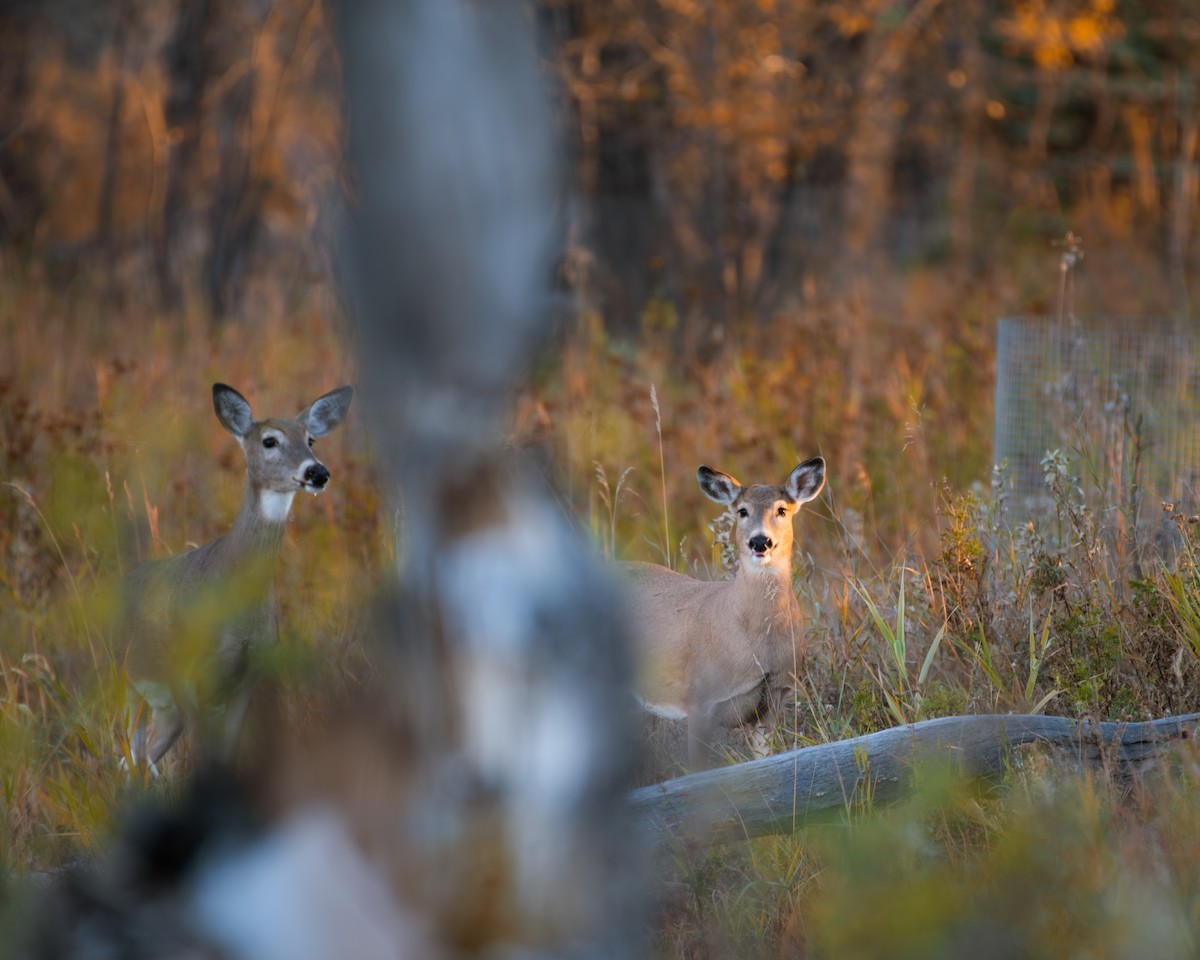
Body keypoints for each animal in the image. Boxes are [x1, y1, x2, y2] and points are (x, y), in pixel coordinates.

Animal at [120, 382, 353, 773]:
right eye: (270, 440)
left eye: (310, 439)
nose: (317, 472)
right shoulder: (187, 673)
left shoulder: (248, 676)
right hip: (128, 677)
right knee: (128, 754)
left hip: (163, 704)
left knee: (139, 757)